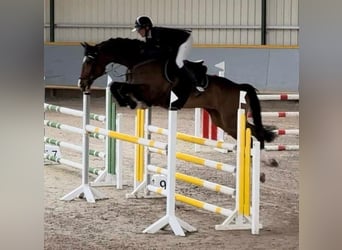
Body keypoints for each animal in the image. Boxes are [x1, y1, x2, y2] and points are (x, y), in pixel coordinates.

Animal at [77, 38, 278, 174]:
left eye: (90, 61)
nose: (81, 84)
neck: (139, 61)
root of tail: (238, 87)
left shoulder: (151, 92)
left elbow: (118, 86)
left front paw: (130, 102)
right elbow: (116, 86)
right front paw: (130, 102)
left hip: (231, 119)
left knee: (254, 134)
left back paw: (266, 162)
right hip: (220, 120)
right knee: (251, 134)